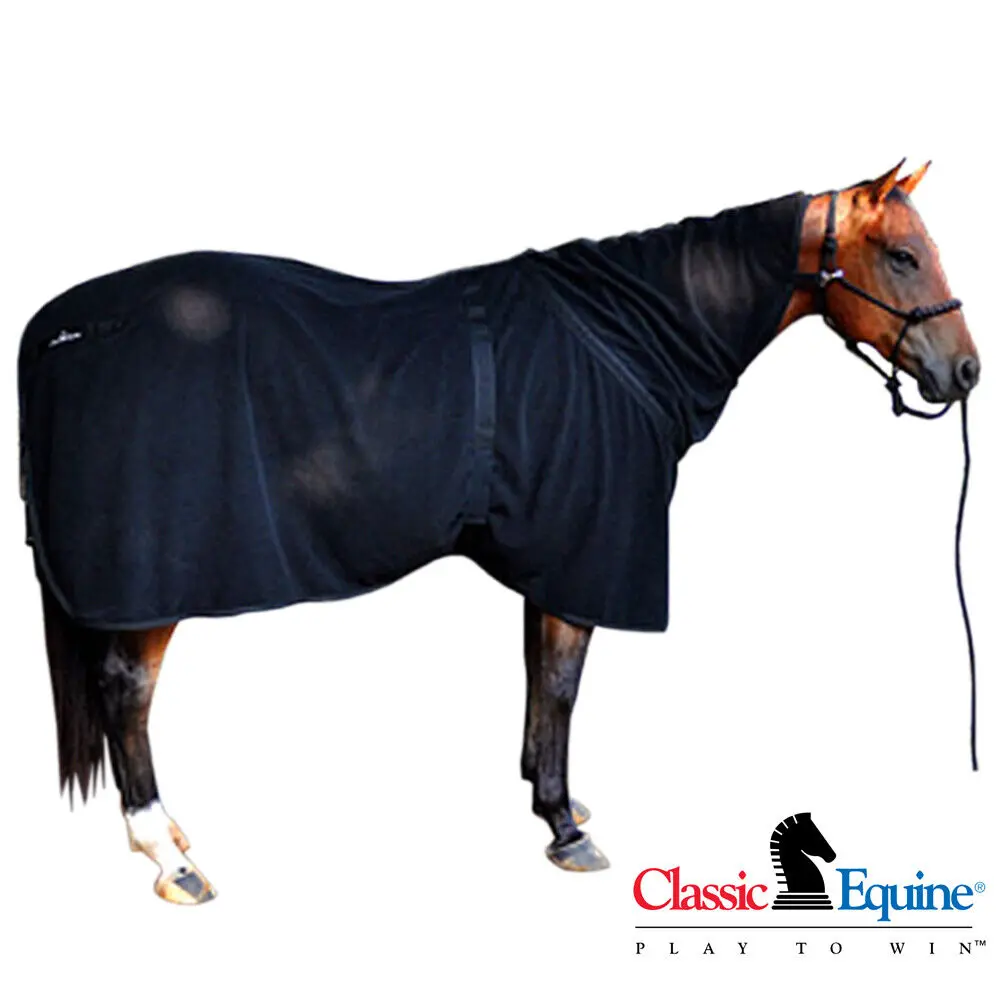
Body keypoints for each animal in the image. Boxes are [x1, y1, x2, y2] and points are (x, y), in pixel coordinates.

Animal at [18, 160, 979, 905]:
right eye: (901, 255)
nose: (965, 371)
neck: (626, 337)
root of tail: (61, 327)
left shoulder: (553, 552)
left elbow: (535, 679)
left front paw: (551, 798)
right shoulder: (591, 554)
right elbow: (562, 684)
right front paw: (563, 826)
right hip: (149, 583)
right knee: (127, 695)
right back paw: (167, 854)